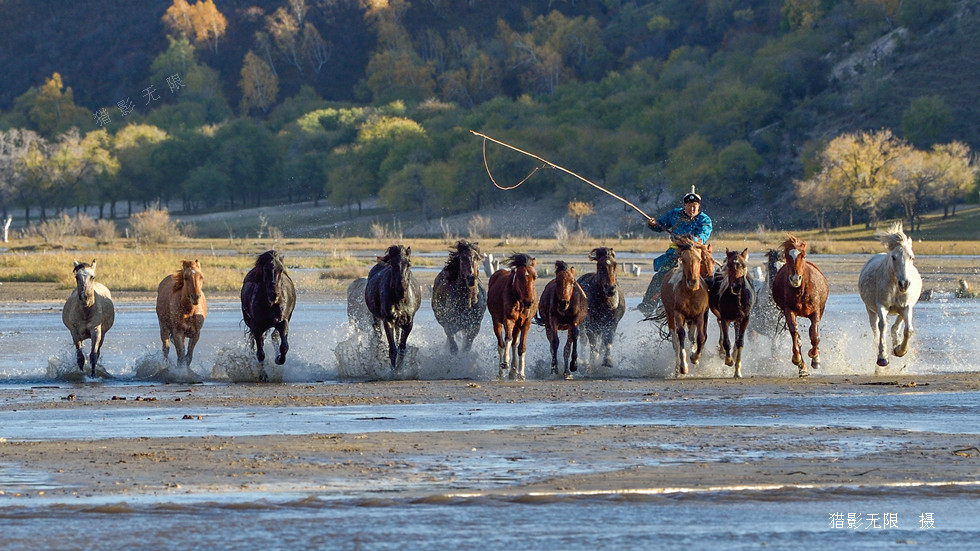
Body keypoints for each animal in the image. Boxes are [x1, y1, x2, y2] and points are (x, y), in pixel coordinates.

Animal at [240, 249, 294, 382]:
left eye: (281, 269)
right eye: (265, 270)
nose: (274, 294)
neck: (270, 305)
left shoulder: (282, 322)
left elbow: (284, 346)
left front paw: (279, 358)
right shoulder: (257, 327)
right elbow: (260, 354)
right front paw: (263, 375)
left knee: (274, 336)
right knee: (254, 345)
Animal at [664, 235, 708, 378]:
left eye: (699, 259)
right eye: (684, 259)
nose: (692, 281)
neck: (691, 293)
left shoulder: (700, 315)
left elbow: (700, 337)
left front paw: (695, 357)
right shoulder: (678, 314)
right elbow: (681, 335)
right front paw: (684, 367)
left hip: (691, 320)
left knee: (691, 336)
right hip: (671, 316)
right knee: (676, 341)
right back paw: (677, 370)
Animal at [708, 250, 756, 380]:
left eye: (743, 265)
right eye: (729, 266)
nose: (736, 287)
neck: (737, 298)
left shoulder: (745, 318)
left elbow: (740, 342)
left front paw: (737, 371)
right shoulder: (725, 317)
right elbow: (726, 341)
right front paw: (728, 360)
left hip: (737, 319)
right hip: (720, 315)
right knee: (720, 326)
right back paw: (722, 352)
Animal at [772, 235, 828, 378]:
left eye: (803, 255)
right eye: (787, 256)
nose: (795, 278)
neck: (801, 291)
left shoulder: (816, 312)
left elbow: (814, 335)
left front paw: (815, 357)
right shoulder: (788, 311)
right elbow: (795, 333)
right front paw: (798, 360)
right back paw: (802, 368)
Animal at [860, 221, 924, 370]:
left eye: (911, 257)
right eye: (894, 257)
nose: (904, 284)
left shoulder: (906, 306)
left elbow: (908, 330)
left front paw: (900, 350)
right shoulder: (881, 306)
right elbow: (882, 326)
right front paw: (883, 358)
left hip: (902, 309)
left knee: (896, 327)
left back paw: (896, 345)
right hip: (870, 309)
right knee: (875, 329)